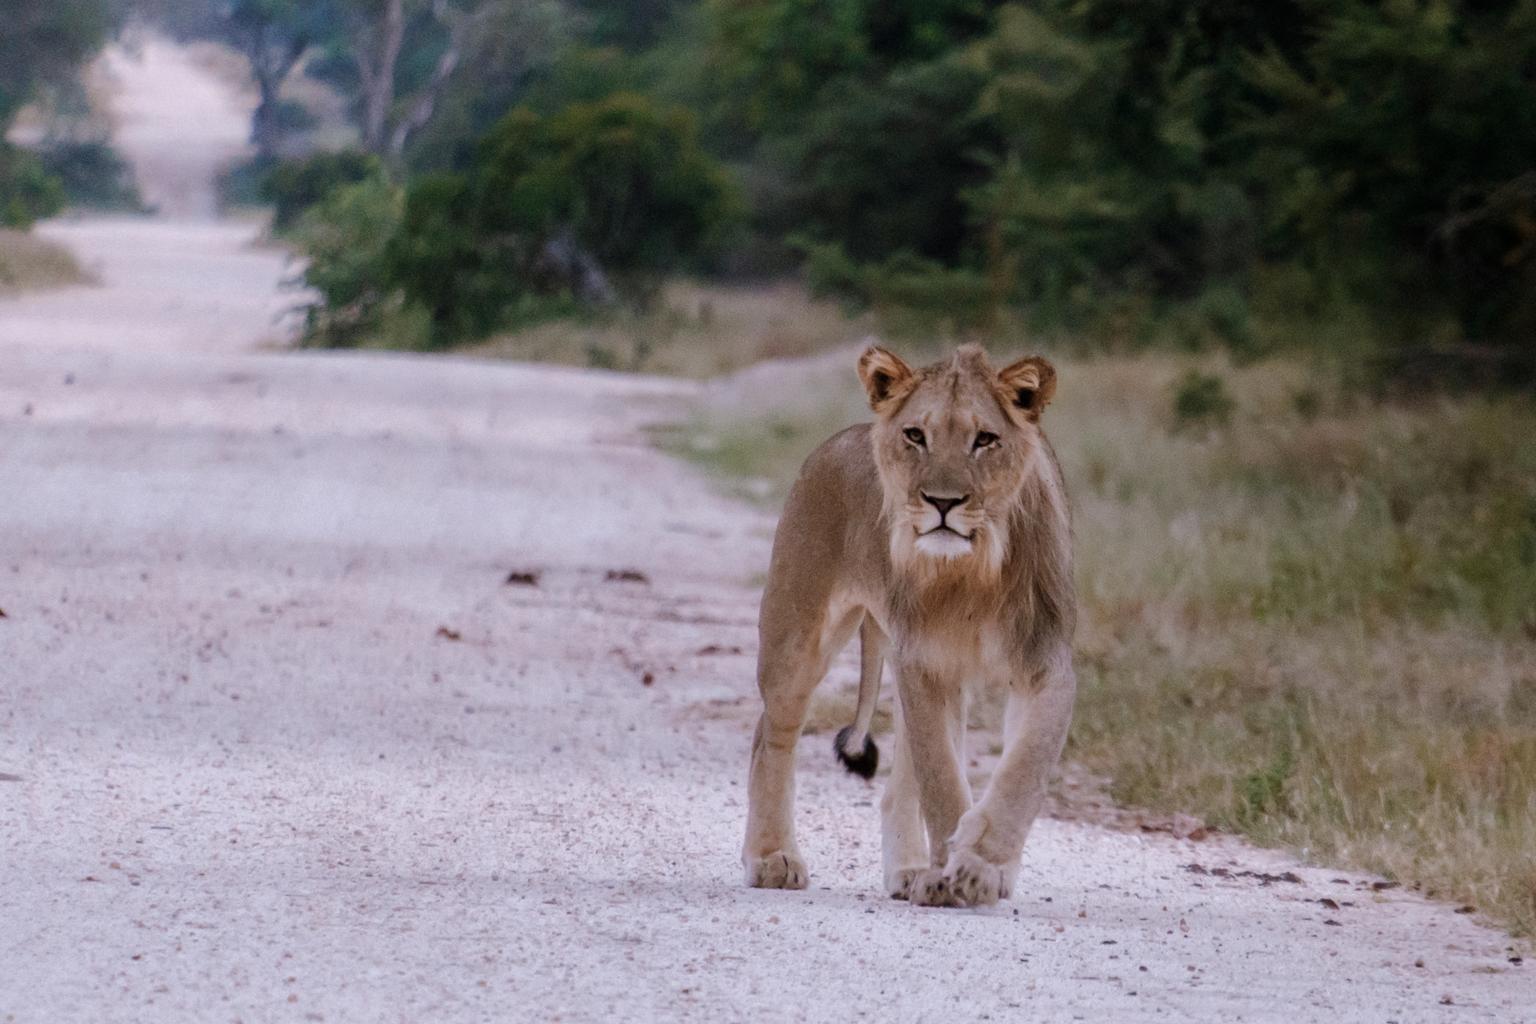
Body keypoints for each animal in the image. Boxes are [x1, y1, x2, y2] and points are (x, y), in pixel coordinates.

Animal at [742, 343, 1076, 908]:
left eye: (985, 440)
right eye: (916, 435)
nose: (943, 502)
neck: (971, 572)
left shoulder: (1045, 660)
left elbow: (1025, 767)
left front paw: (981, 866)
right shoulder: (923, 661)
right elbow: (941, 777)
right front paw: (957, 875)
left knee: (899, 779)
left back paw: (911, 871)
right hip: (798, 635)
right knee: (772, 735)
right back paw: (773, 858)